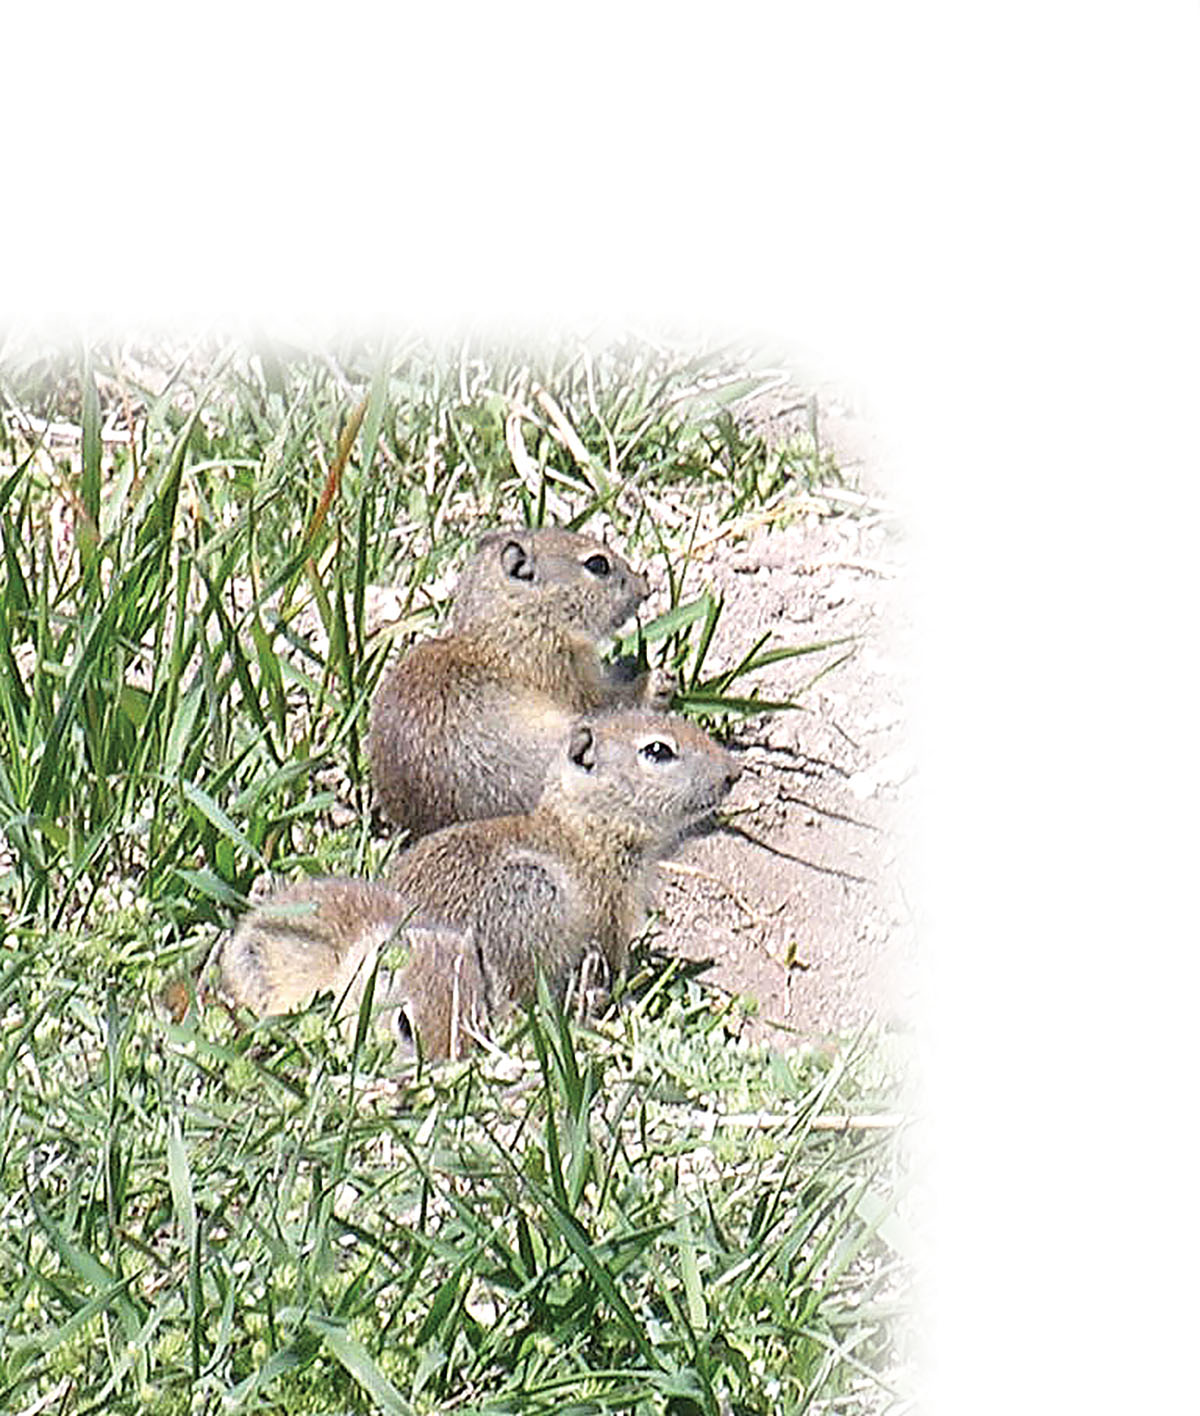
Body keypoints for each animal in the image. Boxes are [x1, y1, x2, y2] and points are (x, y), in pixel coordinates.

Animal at [219, 709, 740, 1060]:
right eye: (658, 750)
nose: (734, 772)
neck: (584, 824)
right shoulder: (611, 914)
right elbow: (616, 958)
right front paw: (629, 997)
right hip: (532, 891)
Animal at [368, 527, 676, 840]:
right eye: (598, 564)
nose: (645, 587)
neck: (517, 618)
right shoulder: (567, 672)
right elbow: (607, 701)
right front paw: (656, 682)